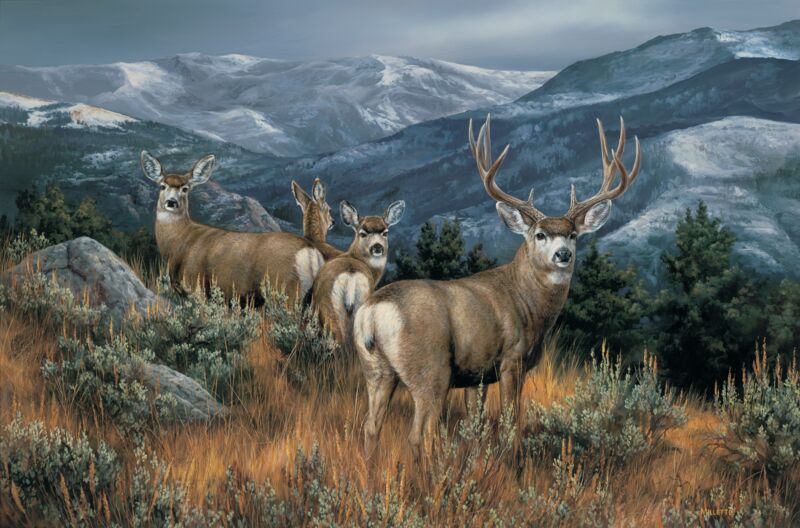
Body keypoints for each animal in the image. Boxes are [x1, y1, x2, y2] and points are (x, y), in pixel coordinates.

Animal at [141, 151, 327, 304]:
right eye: (162, 186)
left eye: (185, 188)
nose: (171, 202)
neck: (180, 241)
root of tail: (311, 253)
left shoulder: (196, 286)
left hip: (287, 290)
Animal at [353, 115, 641, 459]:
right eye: (540, 234)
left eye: (572, 234)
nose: (563, 255)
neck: (527, 303)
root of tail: (372, 313)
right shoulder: (512, 359)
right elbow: (509, 421)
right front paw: (510, 460)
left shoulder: (477, 374)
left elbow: (475, 423)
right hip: (430, 368)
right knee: (419, 434)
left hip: (375, 369)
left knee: (371, 427)